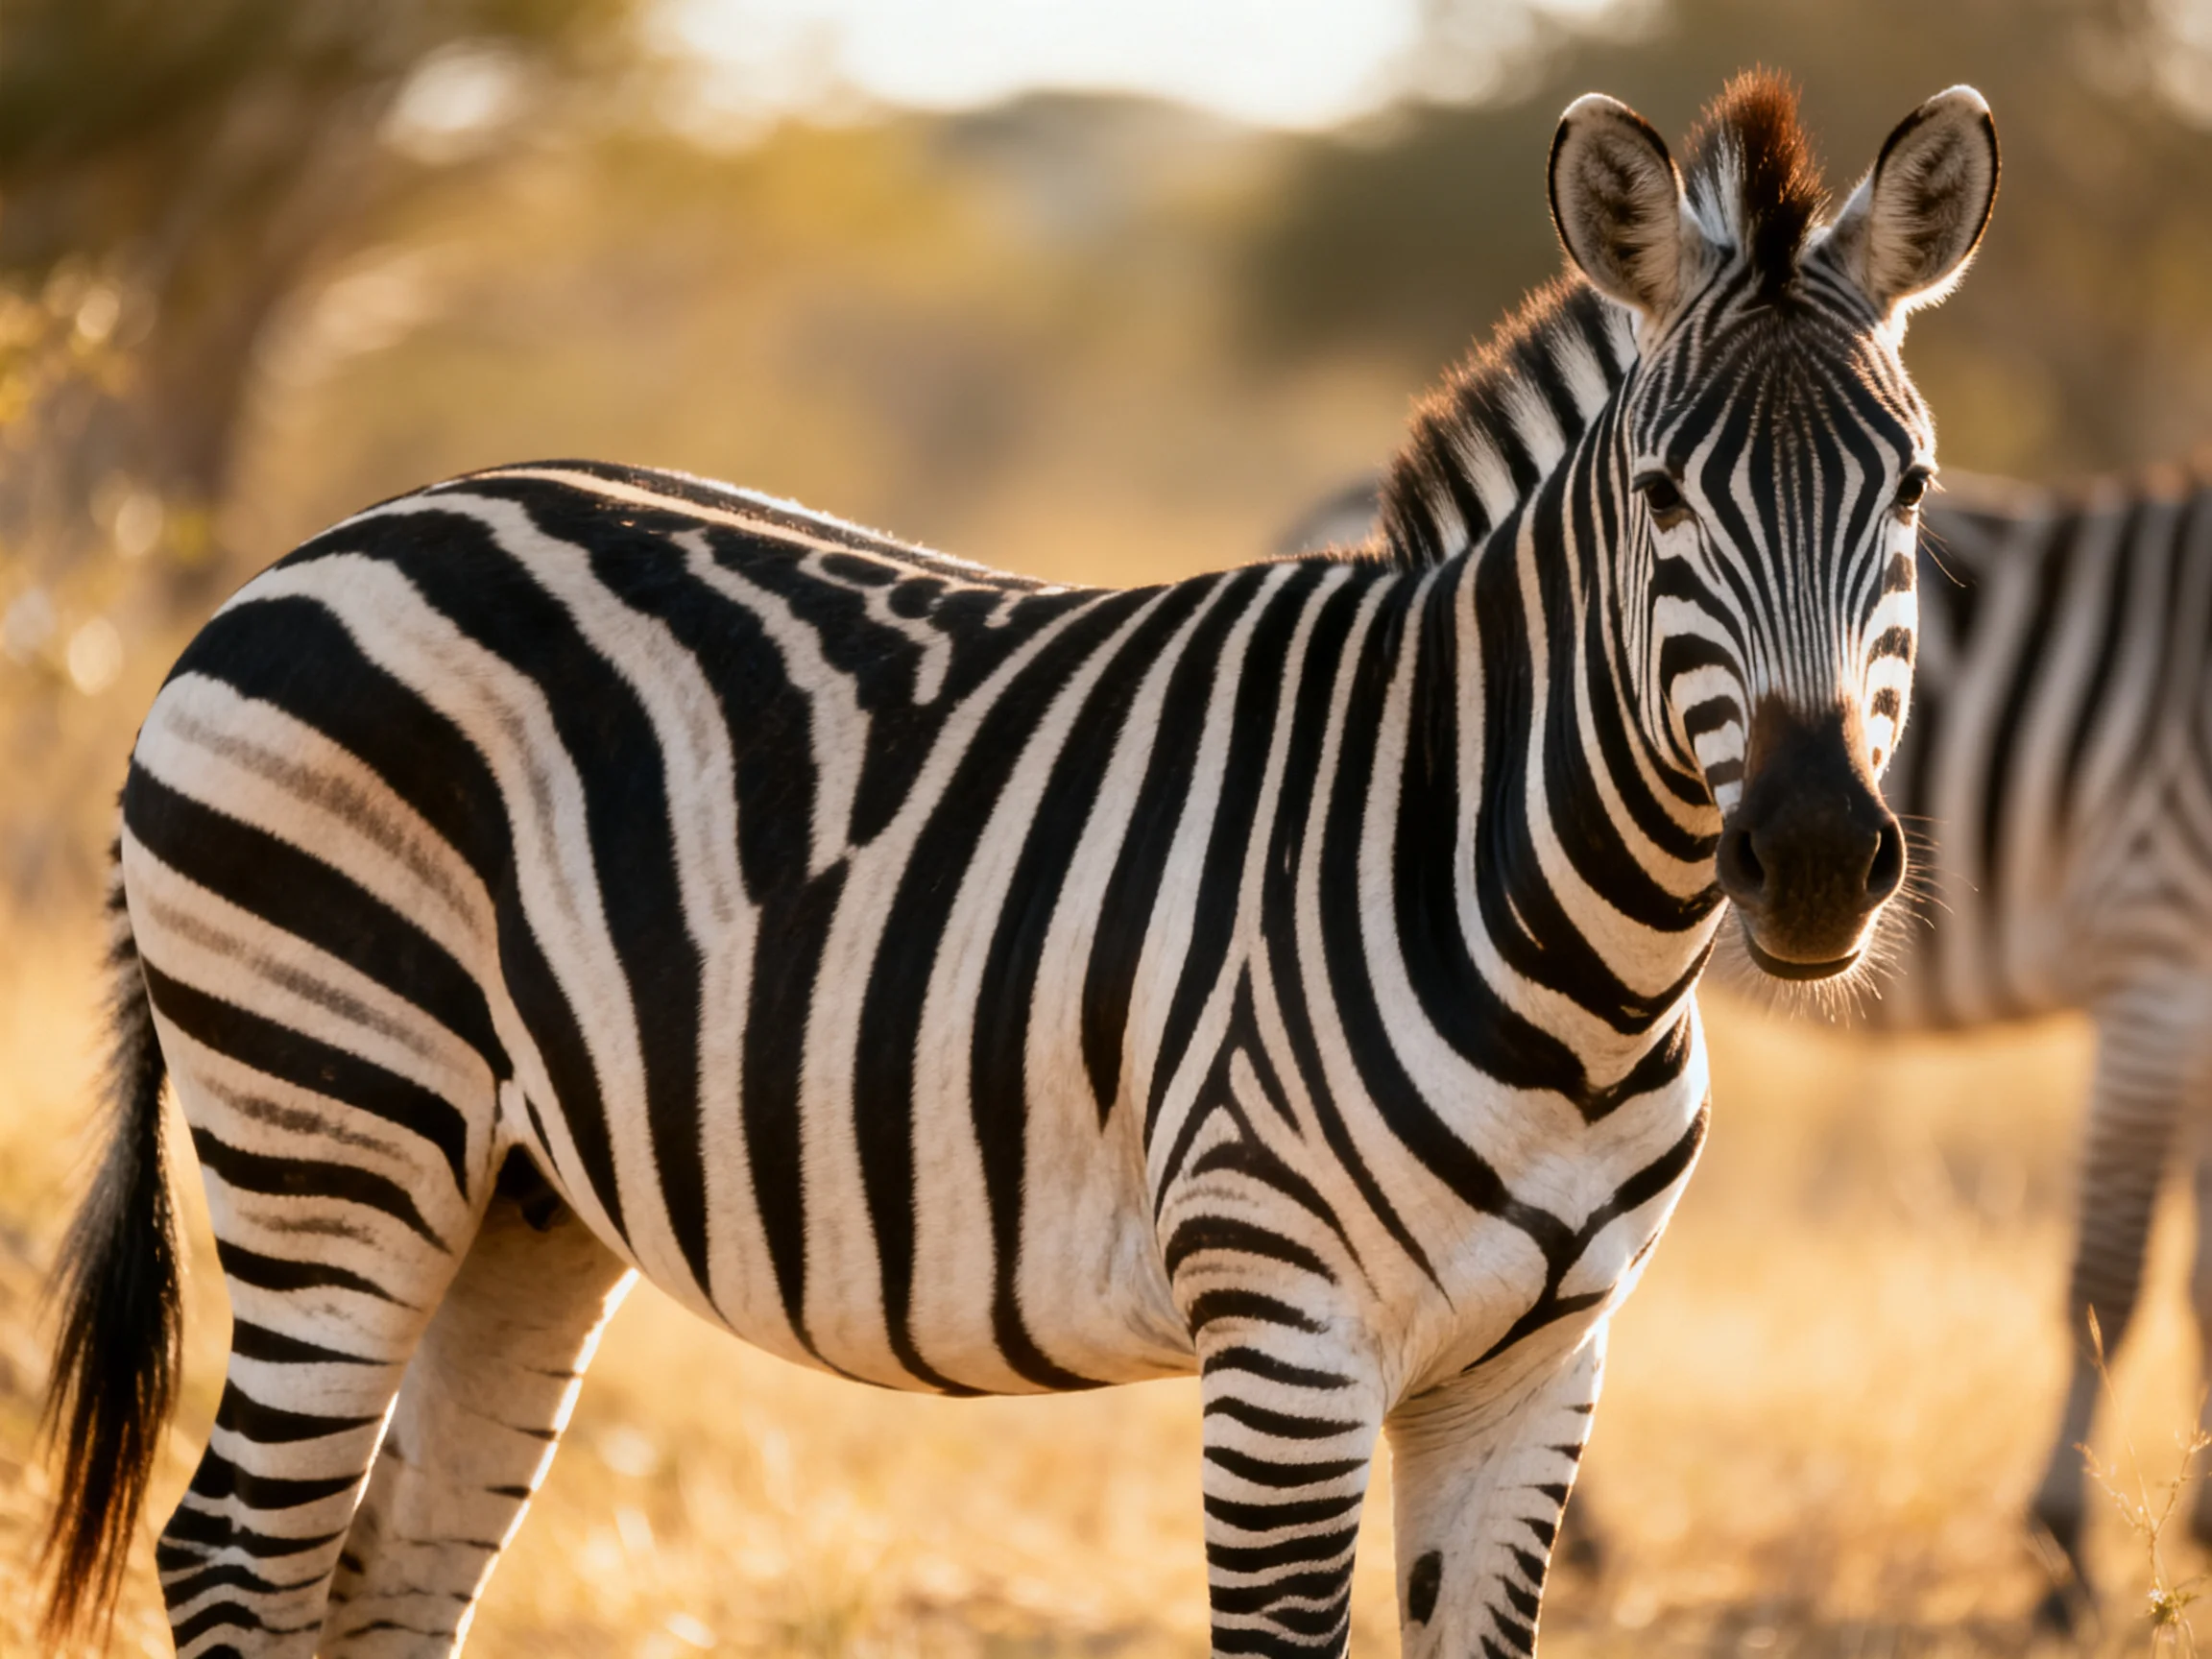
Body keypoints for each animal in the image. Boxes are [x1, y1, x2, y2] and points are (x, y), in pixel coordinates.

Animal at [37, 74, 1996, 1658]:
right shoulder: (1282, 1340)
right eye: (1662, 497)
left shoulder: (1540, 1370)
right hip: (333, 1130)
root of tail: (292, 563)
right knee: (233, 1549)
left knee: (391, 1566)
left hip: (516, 1199)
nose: (1814, 860)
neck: (1564, 949)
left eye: (1909, 493)